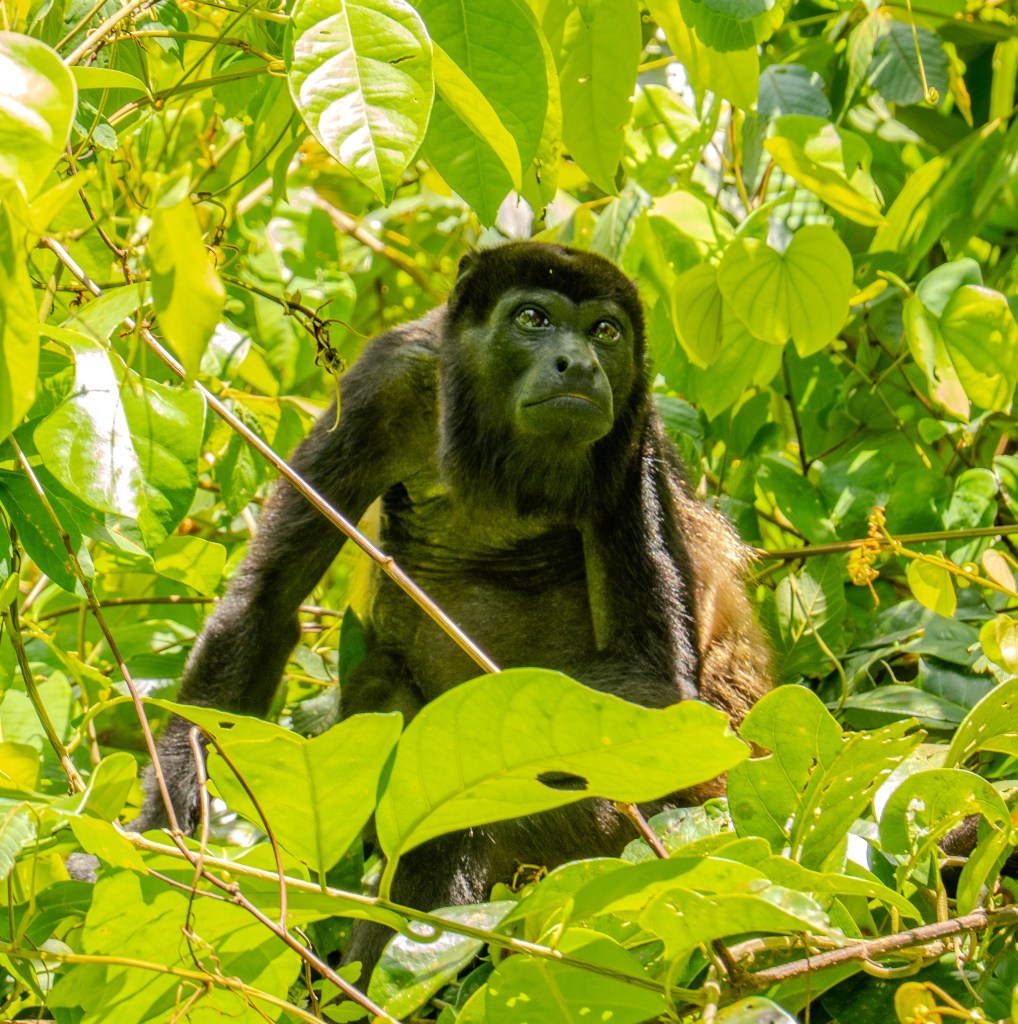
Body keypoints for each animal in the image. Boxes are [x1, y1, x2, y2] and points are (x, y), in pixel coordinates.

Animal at [134, 241, 772, 982]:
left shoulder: (633, 433)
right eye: (533, 318)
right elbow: (266, 600)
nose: (581, 363)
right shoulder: (382, 381)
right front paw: (163, 833)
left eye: (606, 331)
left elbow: (648, 687)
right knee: (379, 682)